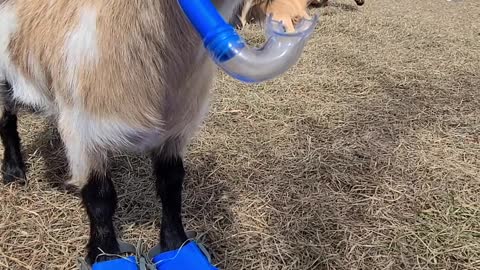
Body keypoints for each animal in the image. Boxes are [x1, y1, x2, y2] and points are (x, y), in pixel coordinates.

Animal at [0, 0, 246, 264]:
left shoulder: (175, 129)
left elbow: (171, 183)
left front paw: (175, 244)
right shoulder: (83, 129)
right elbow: (99, 197)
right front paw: (104, 254)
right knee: (6, 121)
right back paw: (14, 171)